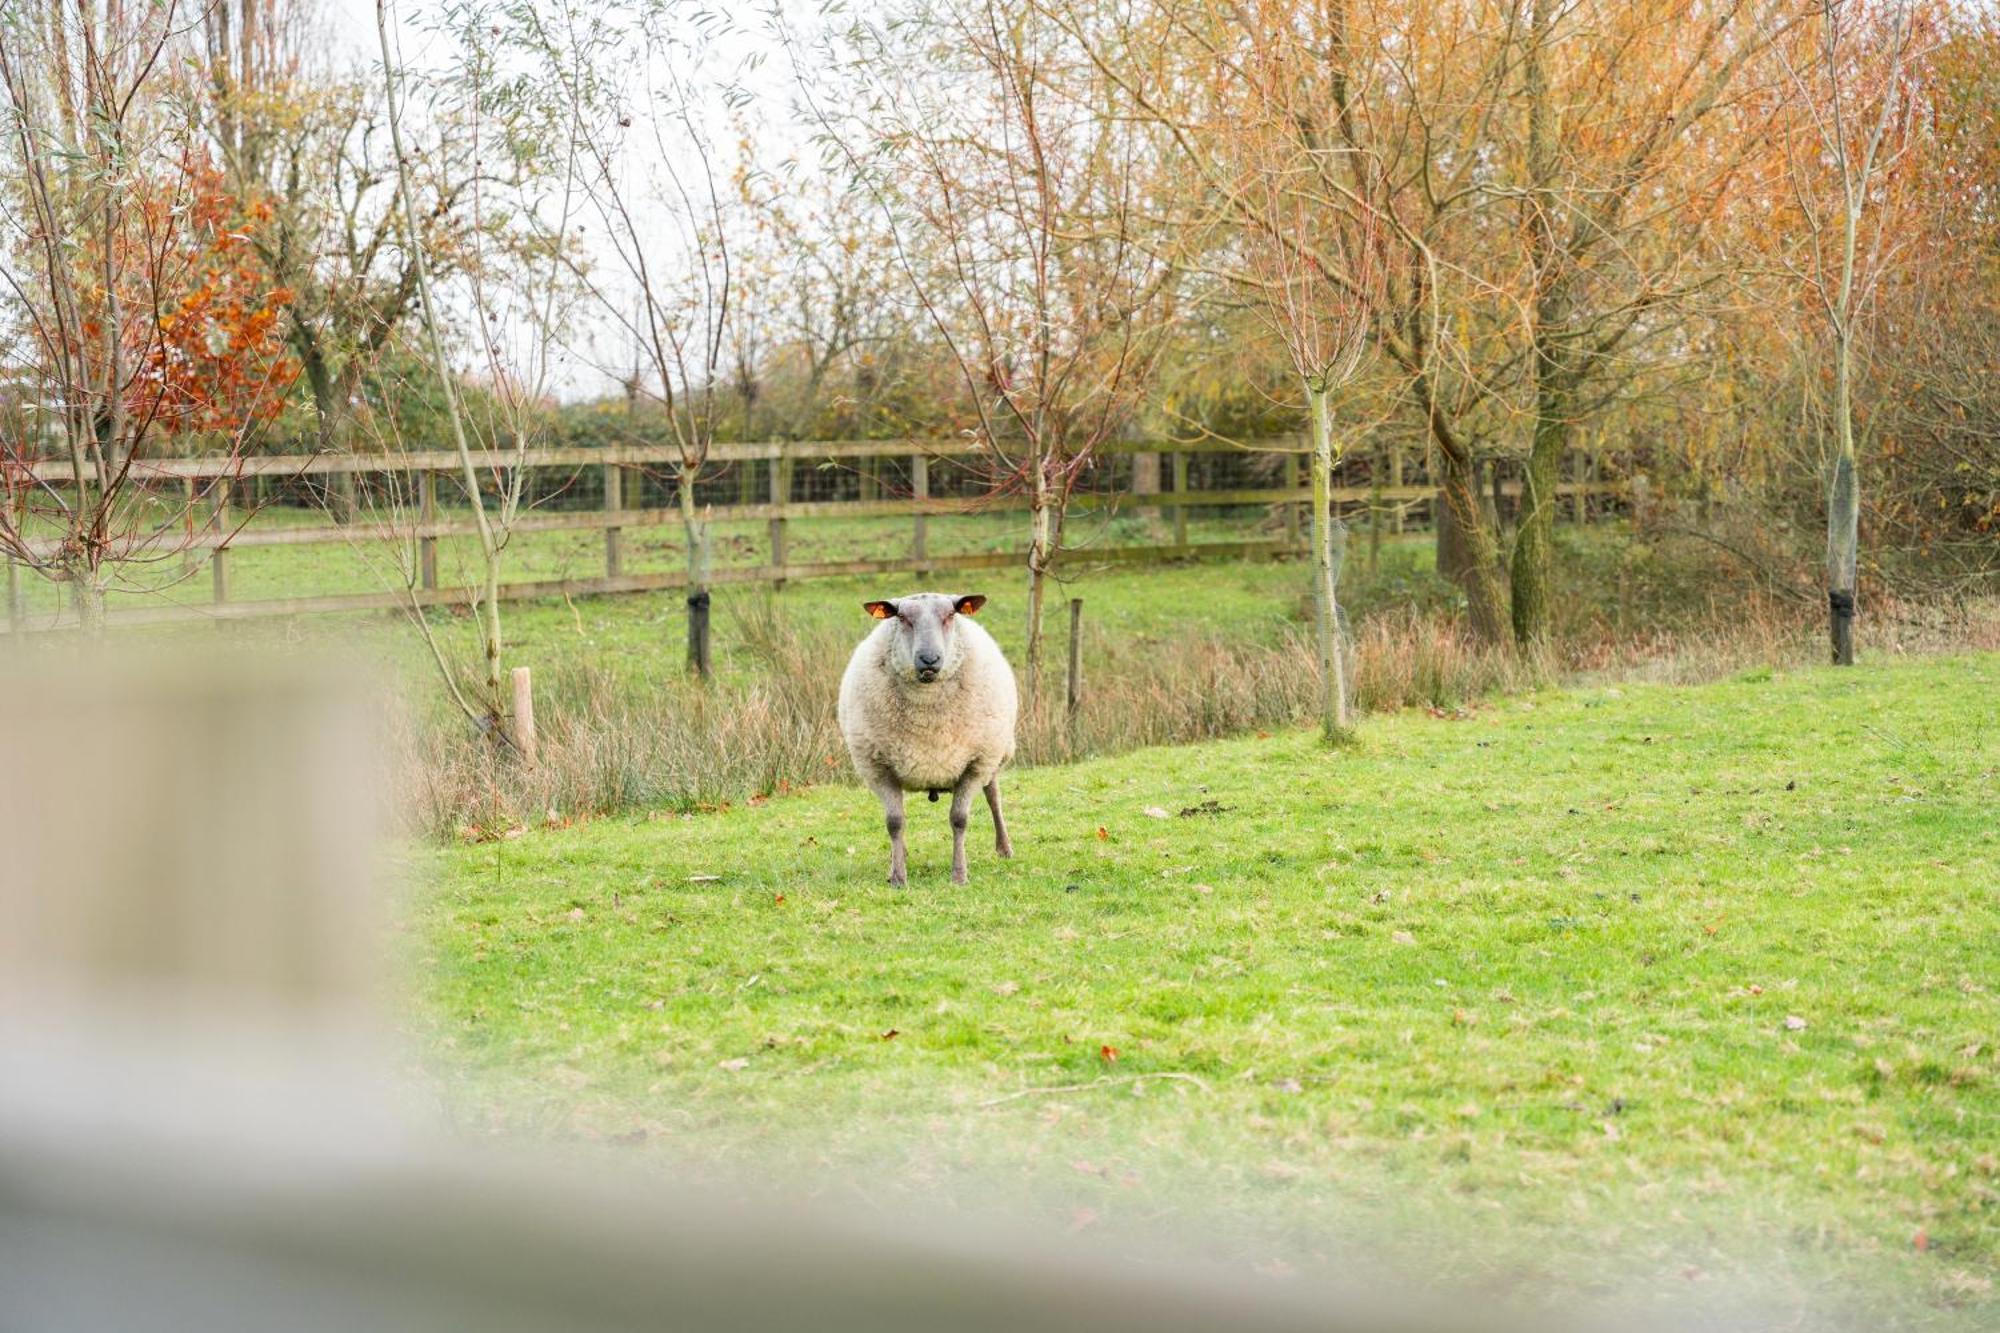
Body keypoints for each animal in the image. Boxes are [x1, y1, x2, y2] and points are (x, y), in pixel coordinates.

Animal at [836, 592, 1016, 880]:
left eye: (950, 615)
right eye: (901, 617)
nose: (929, 659)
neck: (927, 718)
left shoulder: (976, 764)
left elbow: (959, 819)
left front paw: (959, 875)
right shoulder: (878, 767)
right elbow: (895, 822)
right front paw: (898, 876)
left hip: (994, 756)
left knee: (993, 797)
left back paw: (1004, 848)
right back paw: (899, 854)